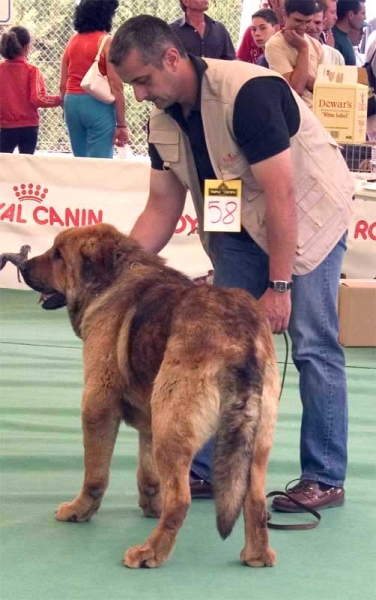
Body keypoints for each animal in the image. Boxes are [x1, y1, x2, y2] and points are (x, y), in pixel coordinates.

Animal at [19, 224, 280, 568]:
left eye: (58, 255)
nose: (21, 266)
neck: (109, 280)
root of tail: (242, 339)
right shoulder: (150, 420)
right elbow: (149, 474)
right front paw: (151, 507)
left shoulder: (97, 405)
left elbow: (95, 475)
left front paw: (79, 510)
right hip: (252, 440)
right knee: (254, 499)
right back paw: (257, 555)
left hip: (172, 426)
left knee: (181, 499)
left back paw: (150, 552)